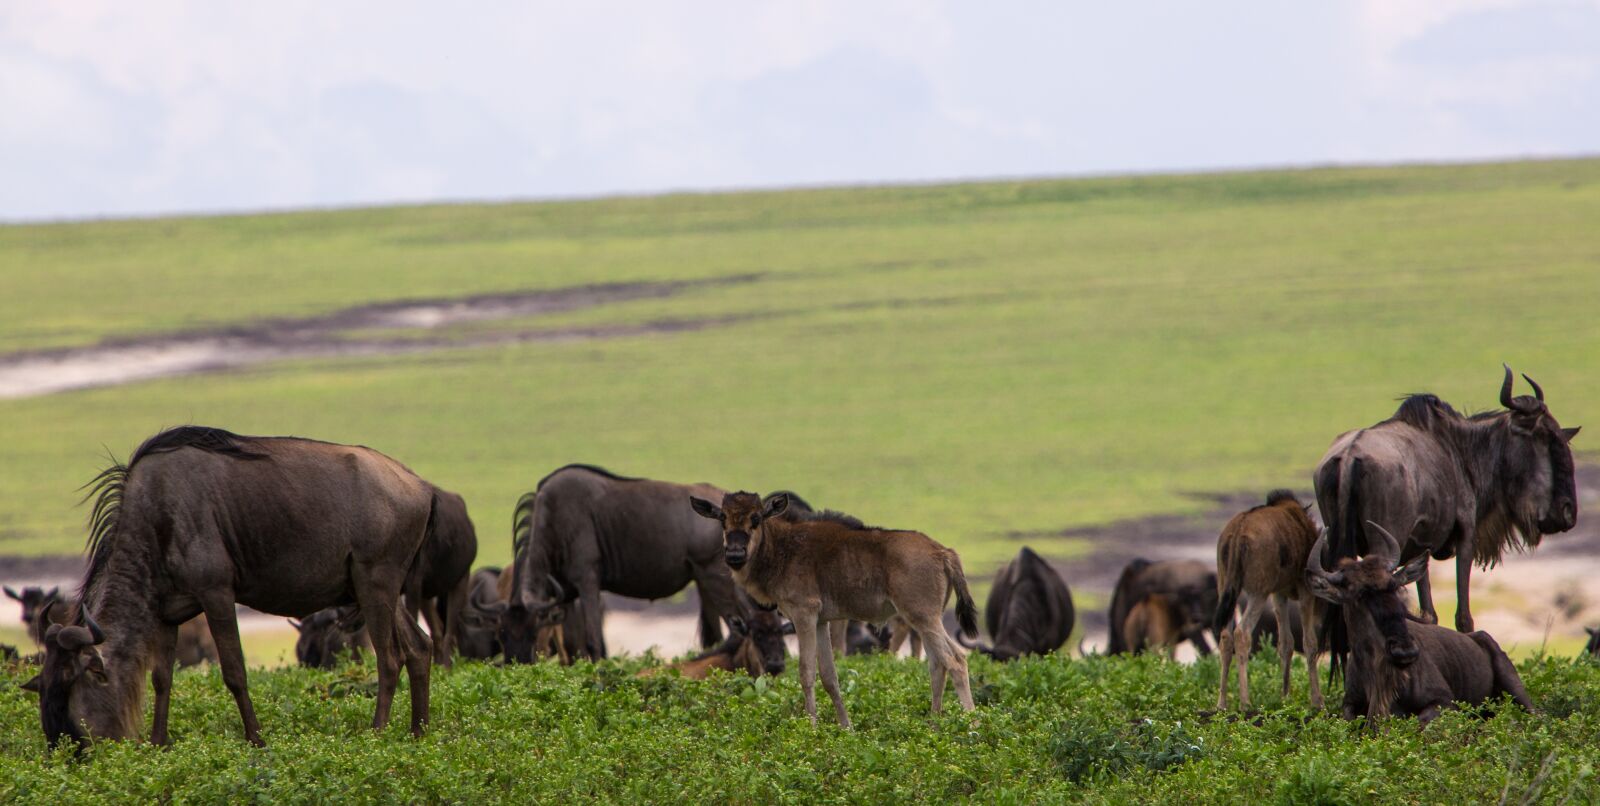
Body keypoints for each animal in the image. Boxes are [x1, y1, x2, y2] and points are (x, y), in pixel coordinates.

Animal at [694, 489, 979, 726]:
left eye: (755, 518)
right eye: (722, 518)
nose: (735, 555)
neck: (782, 548)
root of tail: (944, 552)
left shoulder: (804, 615)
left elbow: (806, 672)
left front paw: (811, 726)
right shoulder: (821, 621)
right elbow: (829, 676)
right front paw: (846, 727)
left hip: (924, 618)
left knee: (955, 660)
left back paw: (973, 724)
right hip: (924, 620)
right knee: (937, 664)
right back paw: (934, 724)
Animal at [1209, 492, 1324, 710]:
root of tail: (1238, 531)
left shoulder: (1278, 593)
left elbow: (1286, 642)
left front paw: (1285, 696)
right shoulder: (1305, 589)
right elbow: (1310, 643)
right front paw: (1317, 701)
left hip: (1226, 587)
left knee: (1226, 637)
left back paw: (1222, 703)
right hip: (1257, 592)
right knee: (1242, 633)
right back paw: (1245, 702)